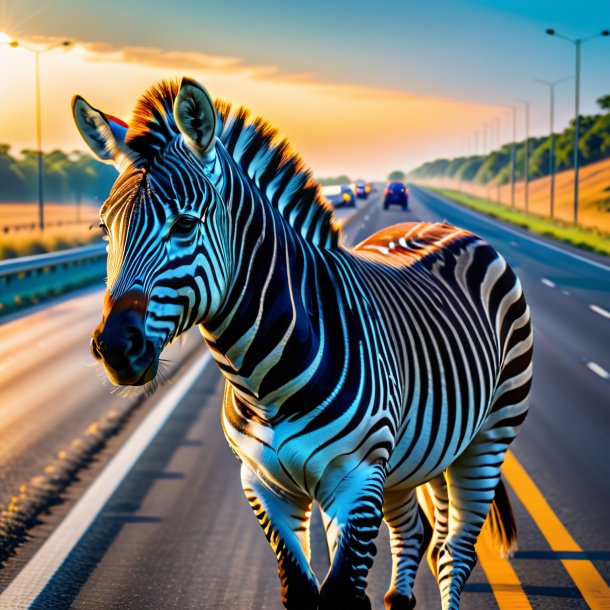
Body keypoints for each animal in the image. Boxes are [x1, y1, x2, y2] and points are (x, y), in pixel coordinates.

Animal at [73, 77, 532, 608]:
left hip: (488, 437)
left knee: (455, 551)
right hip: (413, 456)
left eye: (185, 224)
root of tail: (443, 224)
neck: (263, 381)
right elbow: (297, 588)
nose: (114, 347)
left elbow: (342, 592)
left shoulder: (356, 482)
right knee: (417, 535)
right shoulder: (266, 487)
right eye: (104, 228)